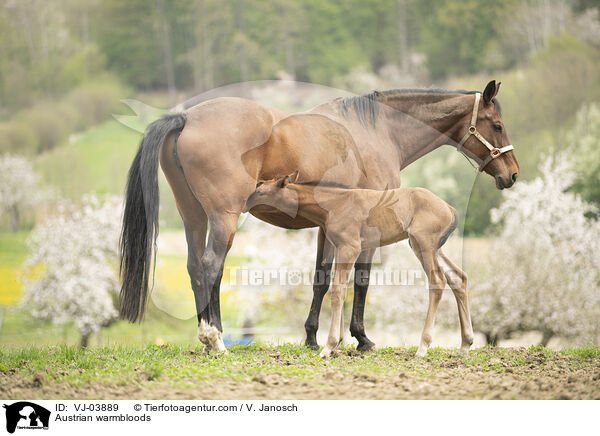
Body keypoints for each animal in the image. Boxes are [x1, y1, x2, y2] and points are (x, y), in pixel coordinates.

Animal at [245, 172, 474, 360]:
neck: (334, 204)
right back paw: (465, 344)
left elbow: (337, 292)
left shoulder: (350, 248)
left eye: (261, 191)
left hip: (424, 244)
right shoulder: (340, 248)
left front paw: (329, 347)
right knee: (458, 278)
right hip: (428, 247)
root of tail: (449, 208)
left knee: (437, 281)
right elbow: (339, 289)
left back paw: (423, 347)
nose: (244, 203)